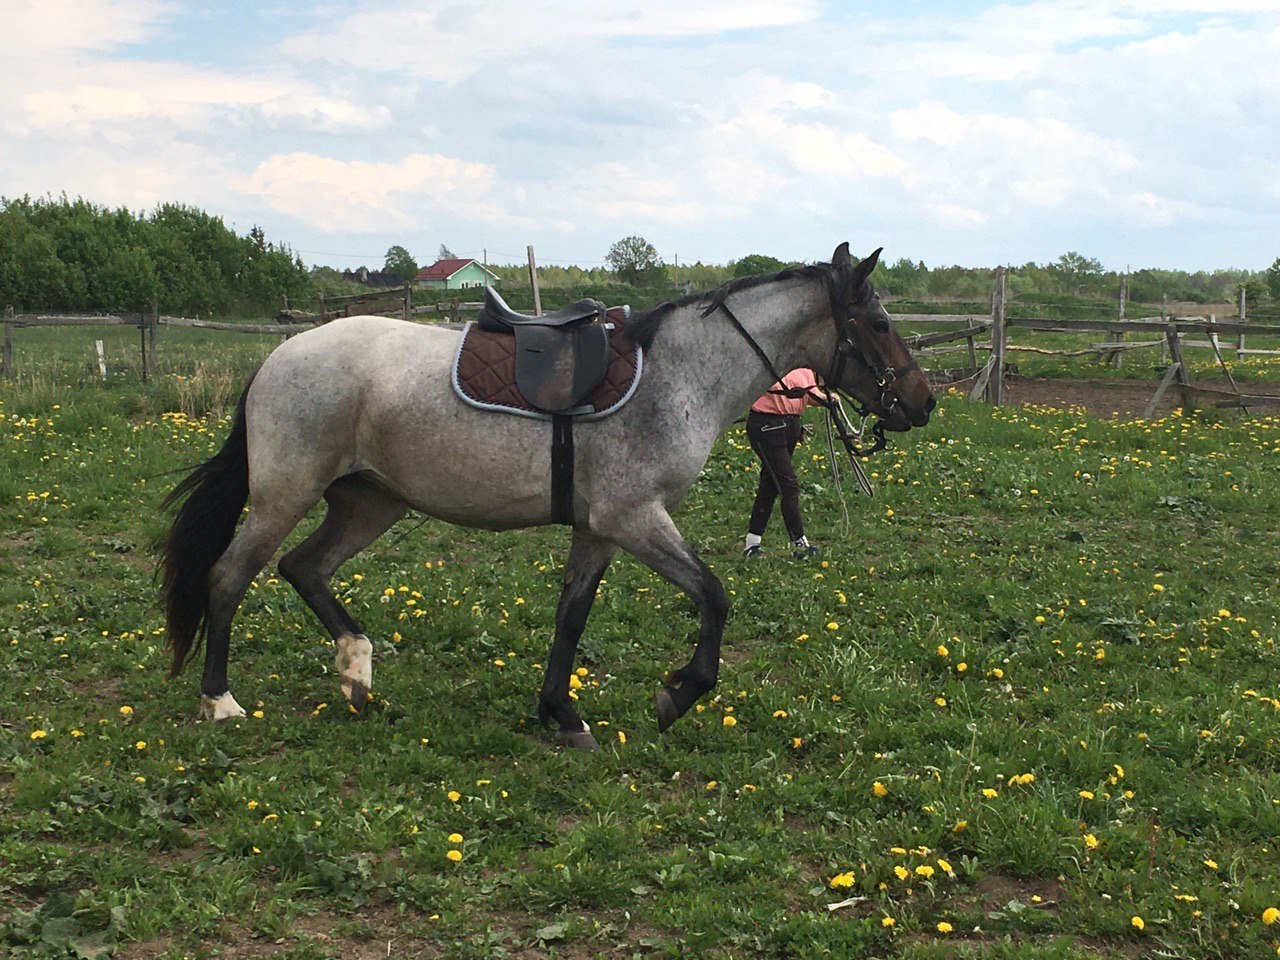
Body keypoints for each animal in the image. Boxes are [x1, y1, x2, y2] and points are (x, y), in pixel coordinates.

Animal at [162, 241, 931, 752]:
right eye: (881, 325)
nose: (922, 403)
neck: (678, 375)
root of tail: (280, 355)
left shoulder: (598, 528)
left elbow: (571, 616)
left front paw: (560, 713)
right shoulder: (634, 518)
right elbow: (714, 596)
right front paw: (676, 693)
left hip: (370, 502)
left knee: (305, 568)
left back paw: (356, 672)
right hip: (284, 495)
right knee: (229, 576)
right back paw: (219, 699)